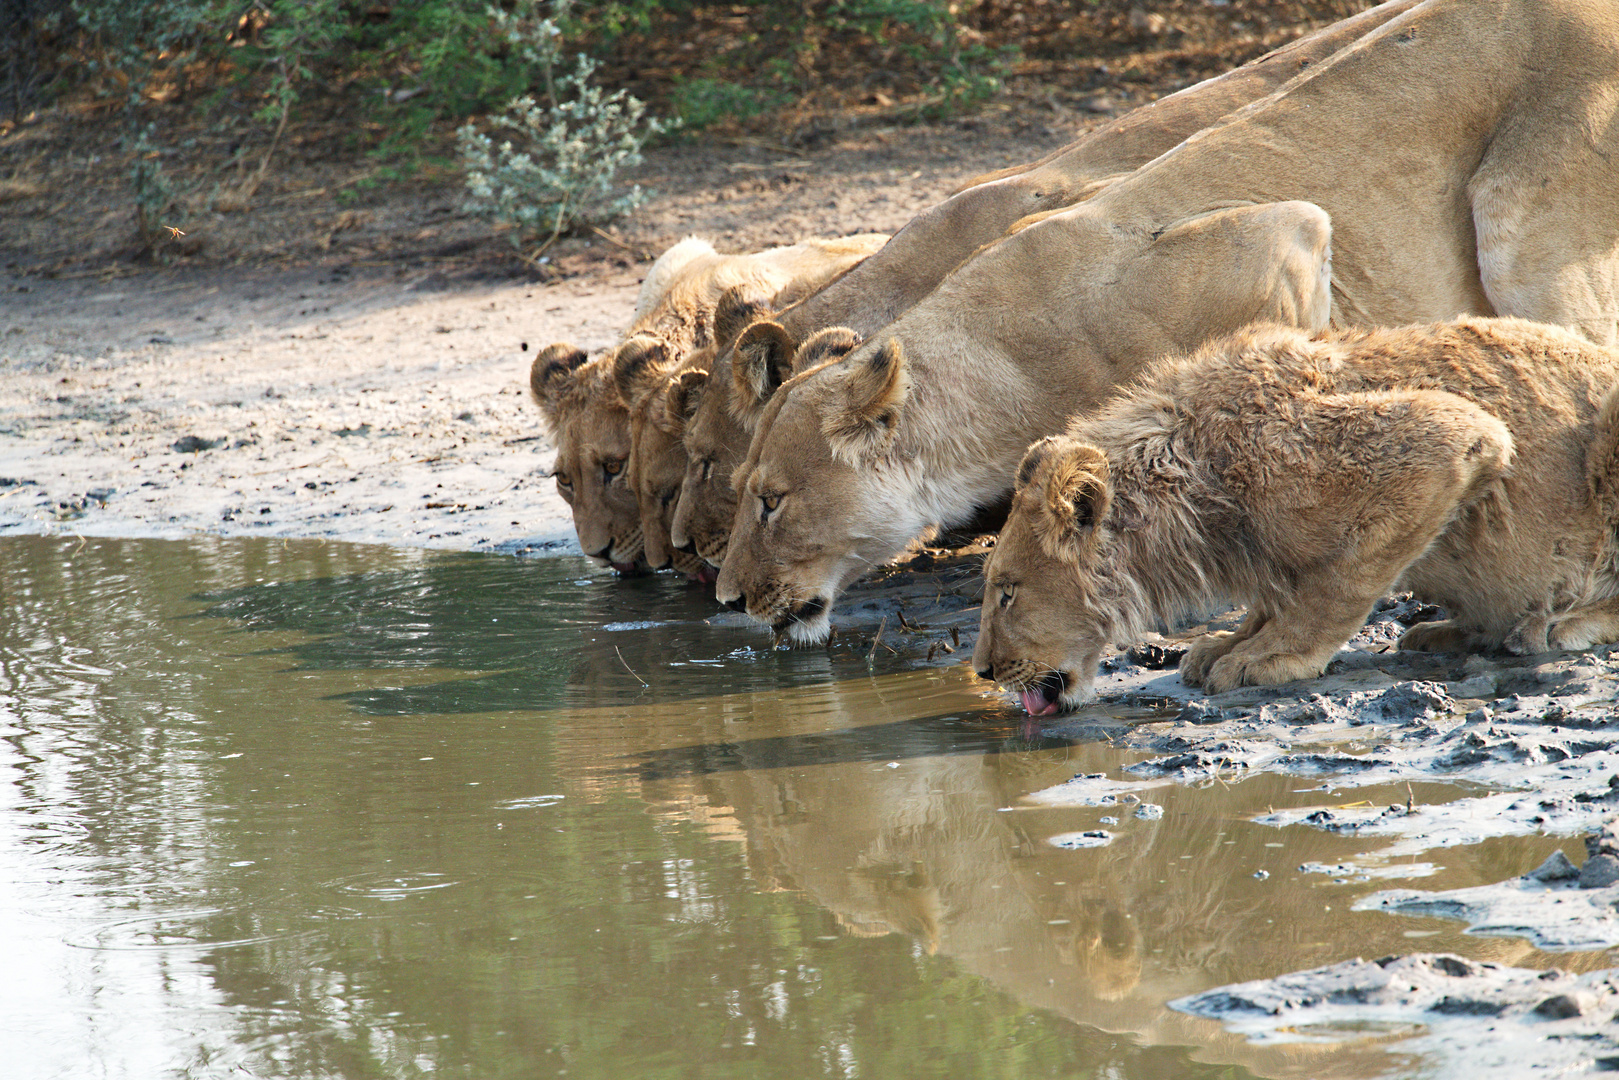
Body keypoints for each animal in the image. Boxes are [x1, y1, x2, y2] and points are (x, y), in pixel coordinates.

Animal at [964, 317, 1619, 712]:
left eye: (1006, 593)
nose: (985, 672)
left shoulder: (1447, 437)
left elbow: (1335, 587)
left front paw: (1270, 657)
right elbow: (1280, 596)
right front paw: (1229, 643)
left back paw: (1558, 624)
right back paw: (1449, 630)